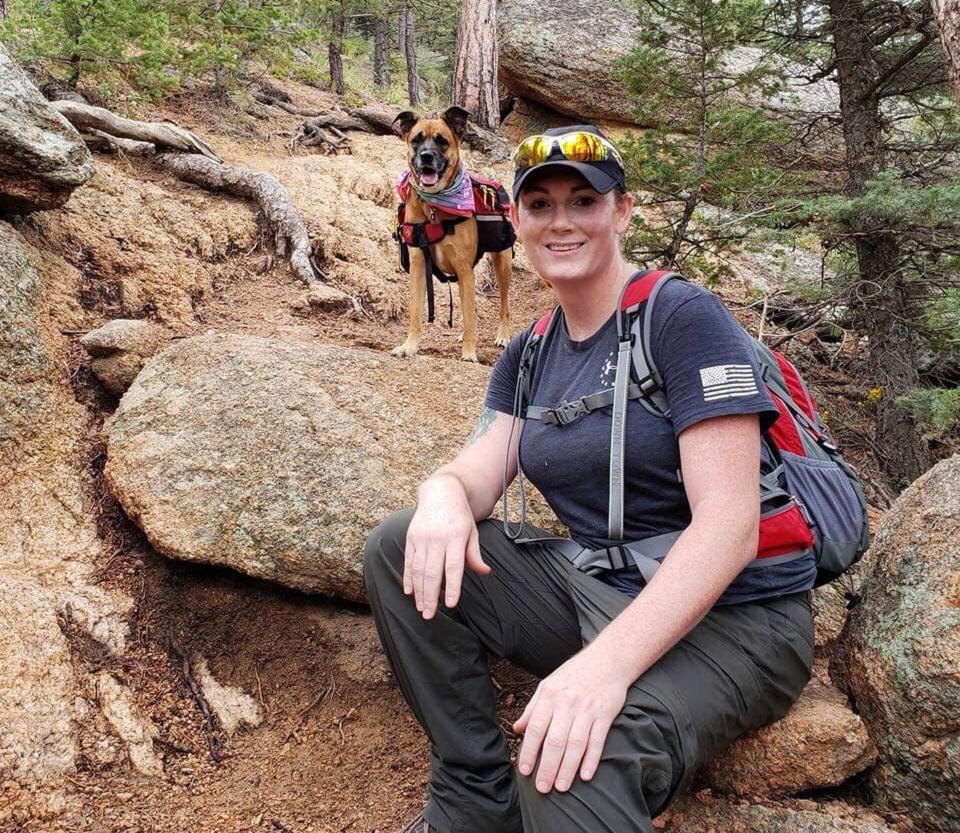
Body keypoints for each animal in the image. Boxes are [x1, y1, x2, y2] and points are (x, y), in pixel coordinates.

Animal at [390, 106, 512, 360]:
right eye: (416, 140)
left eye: (442, 141)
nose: (426, 156)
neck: (434, 207)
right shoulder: (419, 265)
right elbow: (416, 311)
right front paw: (409, 346)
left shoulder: (464, 269)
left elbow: (470, 315)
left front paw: (469, 352)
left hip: (502, 264)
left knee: (504, 304)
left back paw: (503, 335)